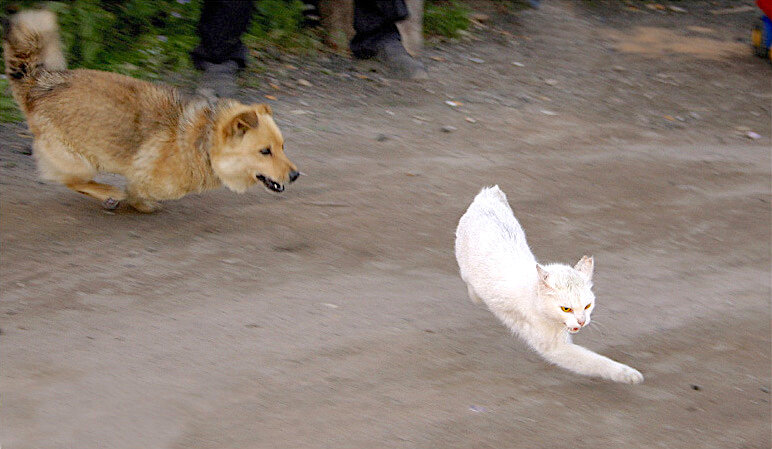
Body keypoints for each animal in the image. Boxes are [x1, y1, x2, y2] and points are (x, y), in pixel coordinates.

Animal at [2, 10, 298, 212]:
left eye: (283, 147)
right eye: (265, 151)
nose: (295, 175)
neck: (202, 141)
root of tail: (38, 84)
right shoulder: (144, 175)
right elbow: (138, 190)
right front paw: (139, 202)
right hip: (79, 161)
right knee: (73, 180)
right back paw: (107, 191)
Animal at [456, 185, 644, 382]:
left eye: (587, 306)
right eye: (566, 309)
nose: (582, 321)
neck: (534, 296)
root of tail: (487, 195)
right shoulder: (555, 348)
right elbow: (594, 361)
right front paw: (627, 373)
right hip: (465, 265)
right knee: (468, 280)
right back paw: (475, 294)